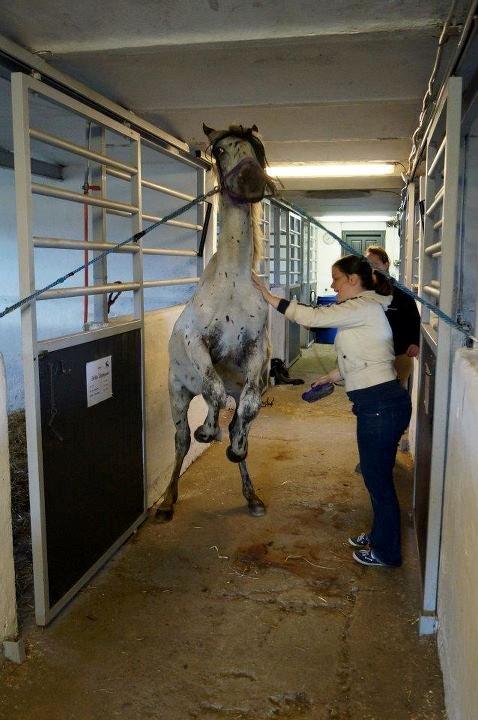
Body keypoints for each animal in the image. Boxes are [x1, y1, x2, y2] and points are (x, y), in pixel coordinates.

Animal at [157, 125, 276, 524]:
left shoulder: (256, 351)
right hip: (178, 392)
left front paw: (234, 448)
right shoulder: (196, 341)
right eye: (221, 149)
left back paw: (251, 494)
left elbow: (247, 408)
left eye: (257, 150)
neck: (232, 283)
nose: (252, 181)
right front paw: (208, 433)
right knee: (182, 439)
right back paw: (167, 501)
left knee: (233, 410)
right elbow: (212, 389)